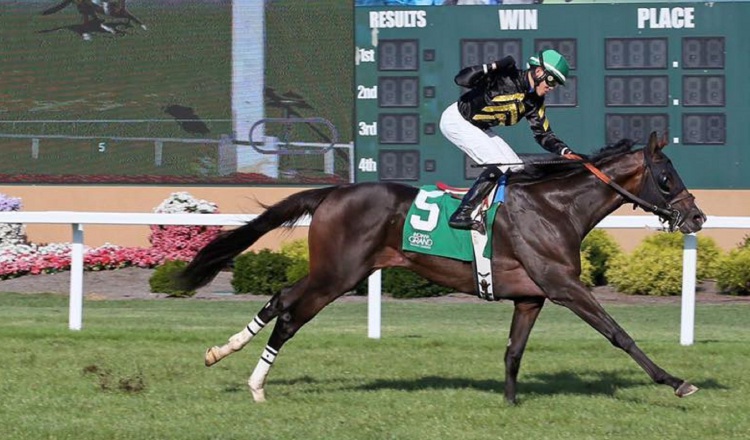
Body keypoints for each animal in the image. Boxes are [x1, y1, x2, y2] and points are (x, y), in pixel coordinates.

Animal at [179, 132, 708, 404]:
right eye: (666, 177)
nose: (698, 217)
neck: (557, 208)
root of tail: (332, 193)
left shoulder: (530, 297)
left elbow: (514, 352)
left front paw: (510, 403)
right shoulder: (564, 286)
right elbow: (620, 334)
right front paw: (676, 381)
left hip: (334, 270)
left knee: (279, 298)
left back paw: (220, 353)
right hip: (339, 276)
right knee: (290, 316)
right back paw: (256, 385)